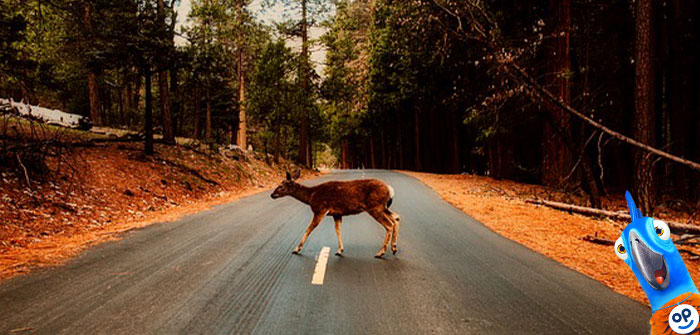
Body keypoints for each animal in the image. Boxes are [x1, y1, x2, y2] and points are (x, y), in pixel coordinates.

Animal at [270, 172, 402, 258]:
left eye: (281, 186)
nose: (272, 195)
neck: (311, 195)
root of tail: (390, 189)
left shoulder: (320, 210)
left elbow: (309, 229)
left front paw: (296, 249)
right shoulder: (337, 213)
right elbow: (337, 230)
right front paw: (340, 250)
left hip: (375, 207)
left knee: (389, 224)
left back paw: (381, 252)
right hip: (383, 207)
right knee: (396, 217)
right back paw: (394, 248)